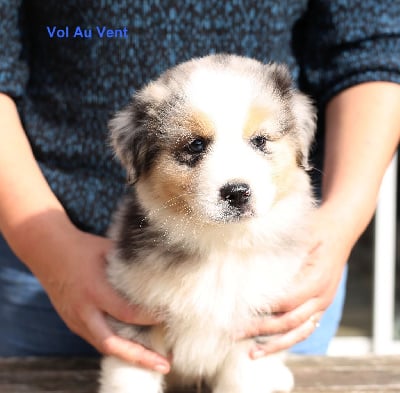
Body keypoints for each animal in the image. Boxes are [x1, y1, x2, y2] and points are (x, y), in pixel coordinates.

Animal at [100, 52, 316, 392]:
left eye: (260, 141)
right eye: (196, 145)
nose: (237, 192)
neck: (219, 241)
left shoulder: (259, 325)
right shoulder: (135, 317)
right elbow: (129, 378)